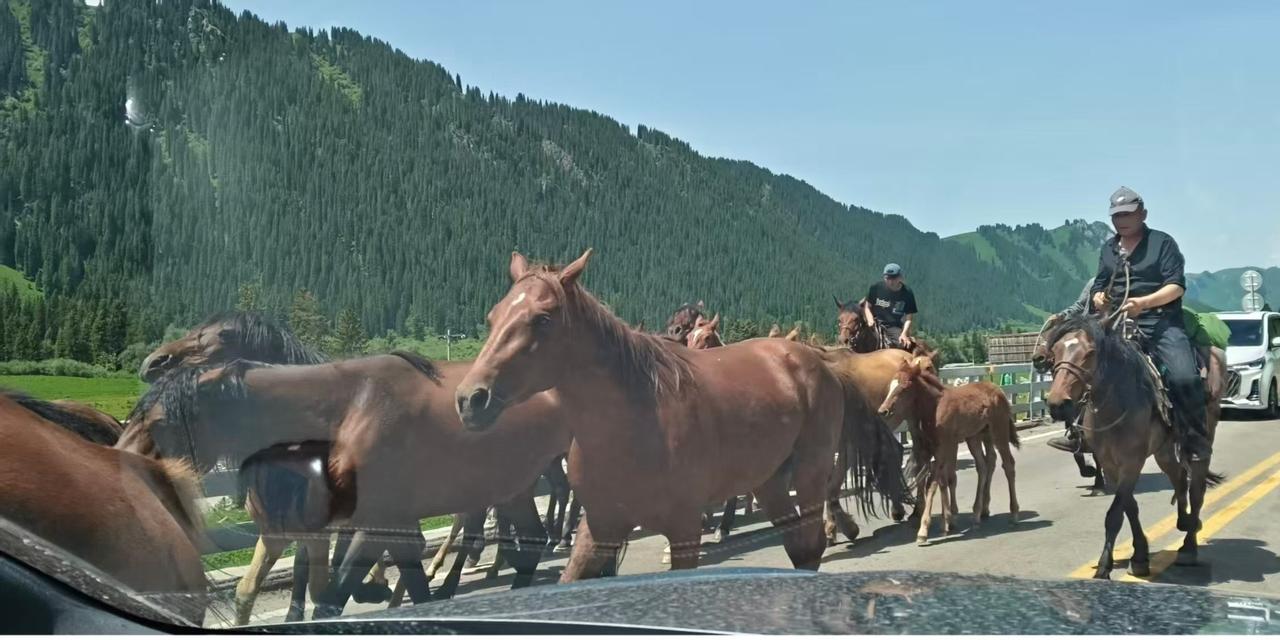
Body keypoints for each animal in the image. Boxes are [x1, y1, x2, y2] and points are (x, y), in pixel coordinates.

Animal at [116, 350, 569, 618]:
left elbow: (332, 597)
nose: (114, 462)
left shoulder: (379, 522)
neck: (349, 409)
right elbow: (404, 581)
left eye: (160, 421)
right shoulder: (383, 523)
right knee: (526, 542)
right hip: (511, 489)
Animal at [455, 249, 886, 580]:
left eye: (542, 318)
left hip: (810, 470)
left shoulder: (682, 526)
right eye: (493, 316)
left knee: (811, 538)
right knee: (799, 548)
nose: (471, 398)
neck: (634, 424)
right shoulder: (601, 525)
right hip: (770, 481)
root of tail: (820, 361)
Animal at [877, 353, 1021, 545]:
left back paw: (1014, 514)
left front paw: (924, 530)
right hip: (975, 437)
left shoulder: (943, 446)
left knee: (1008, 465)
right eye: (891, 385)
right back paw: (977, 515)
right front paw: (946, 523)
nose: (883, 411)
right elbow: (940, 480)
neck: (934, 408)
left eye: (905, 386)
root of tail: (998, 390)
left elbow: (932, 482)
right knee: (983, 466)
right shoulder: (930, 447)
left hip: (999, 431)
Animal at [1042, 314, 1225, 578]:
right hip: (1164, 451)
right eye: (1055, 351)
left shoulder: (1132, 461)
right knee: (1179, 480)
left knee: (1197, 491)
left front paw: (1104, 568)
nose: (1057, 404)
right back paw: (1185, 521)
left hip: (1201, 443)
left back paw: (1189, 547)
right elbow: (1130, 507)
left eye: (1090, 352)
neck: (1116, 402)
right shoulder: (1110, 464)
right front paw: (1139, 555)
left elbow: (1115, 514)